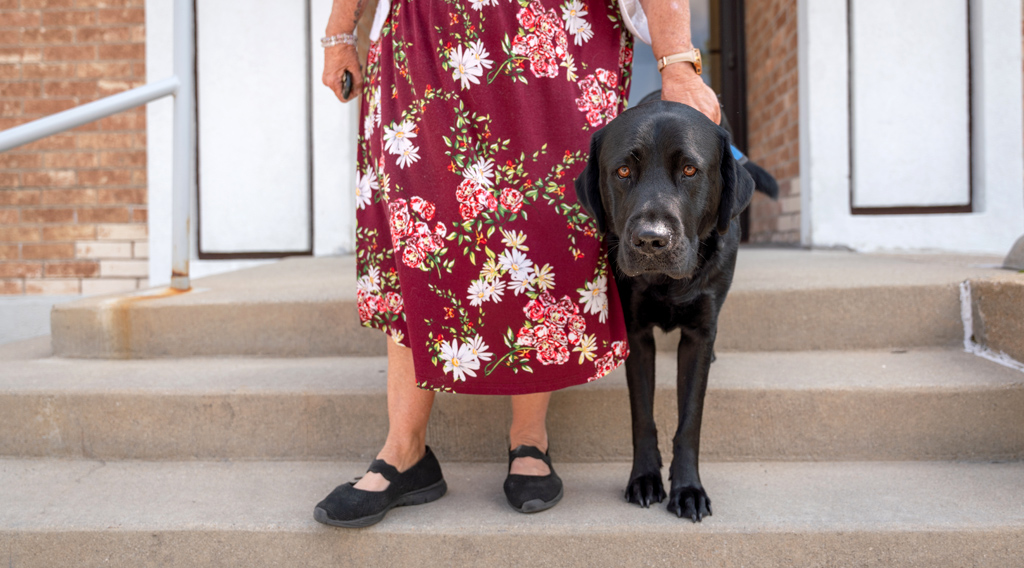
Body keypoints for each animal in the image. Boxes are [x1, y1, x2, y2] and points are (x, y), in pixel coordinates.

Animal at [577, 96, 774, 519]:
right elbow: (642, 416)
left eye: (689, 170)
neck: (667, 283)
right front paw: (644, 479)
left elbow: (690, 421)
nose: (651, 240)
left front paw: (688, 490)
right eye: (623, 171)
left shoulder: (698, 334)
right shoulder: (636, 333)